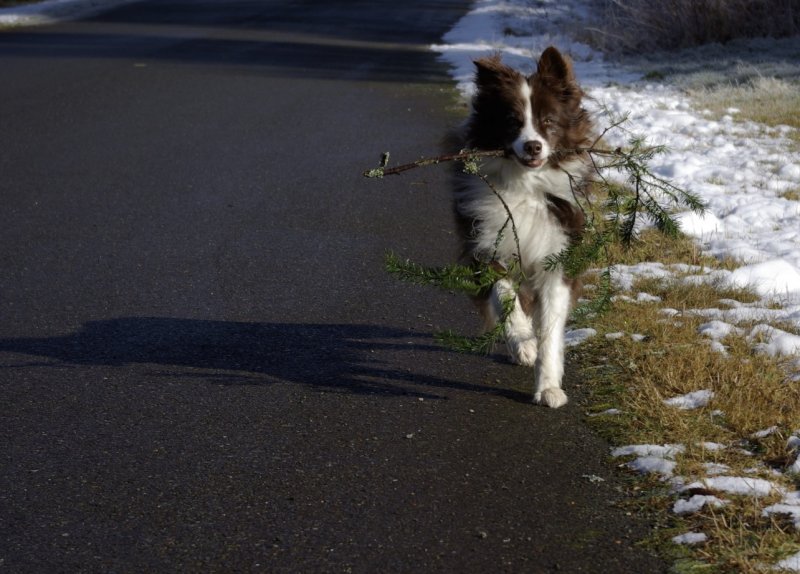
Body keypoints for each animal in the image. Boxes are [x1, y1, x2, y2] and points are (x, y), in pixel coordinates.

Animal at [450, 48, 592, 410]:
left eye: (549, 123)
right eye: (512, 122)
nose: (533, 146)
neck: (525, 185)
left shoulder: (557, 254)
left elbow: (551, 329)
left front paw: (549, 388)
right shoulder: (488, 241)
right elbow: (505, 297)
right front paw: (524, 343)